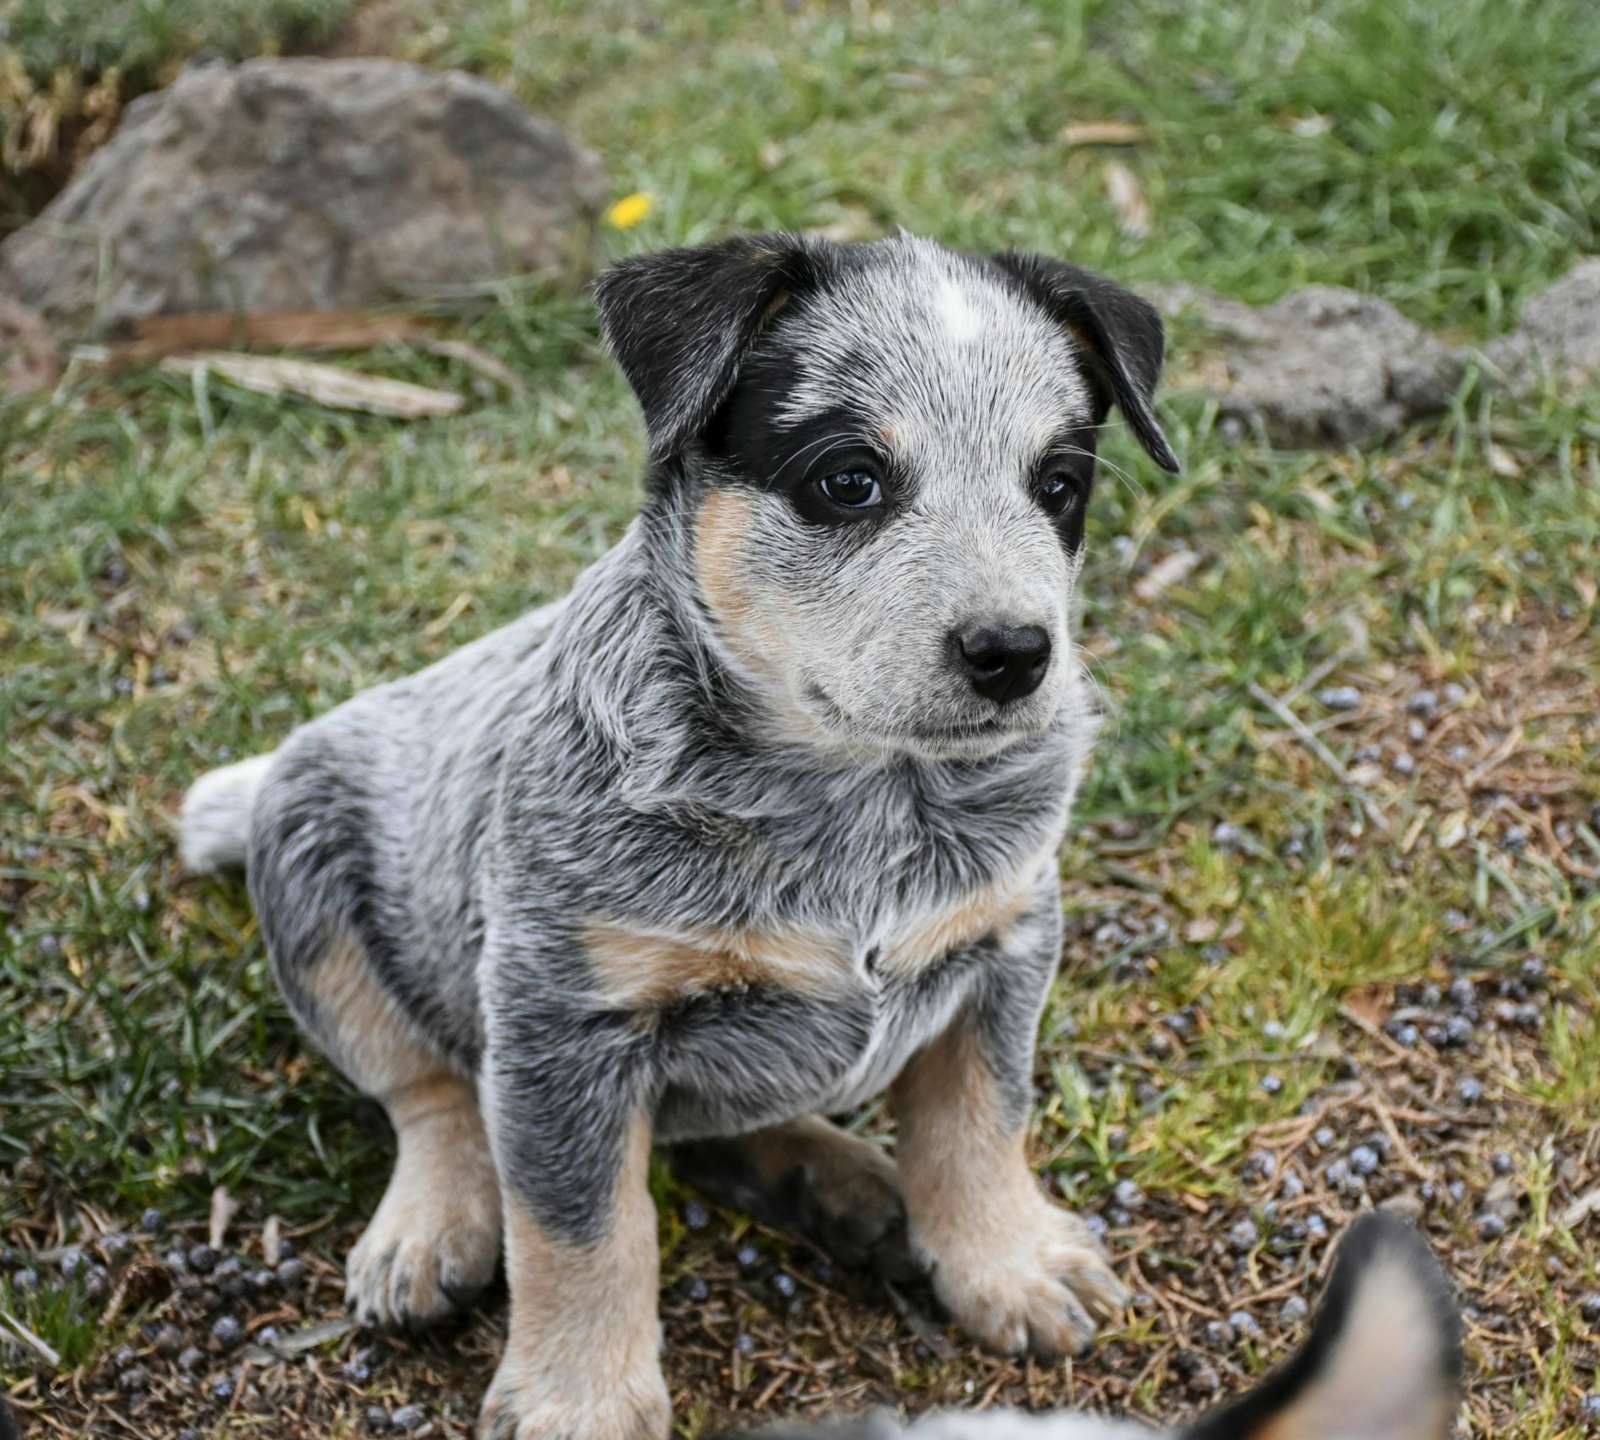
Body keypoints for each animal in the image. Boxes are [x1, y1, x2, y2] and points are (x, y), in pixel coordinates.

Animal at [184, 233, 1190, 1440]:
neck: (861, 806)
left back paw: (842, 1187)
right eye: (847, 478)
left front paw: (1009, 1263)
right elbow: (581, 1229)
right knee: (426, 1088)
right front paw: (579, 1400)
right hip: (312, 868)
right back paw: (432, 1226)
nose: (1014, 652)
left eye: (1060, 485)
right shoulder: (562, 1016)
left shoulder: (1007, 937)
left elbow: (980, 1121)